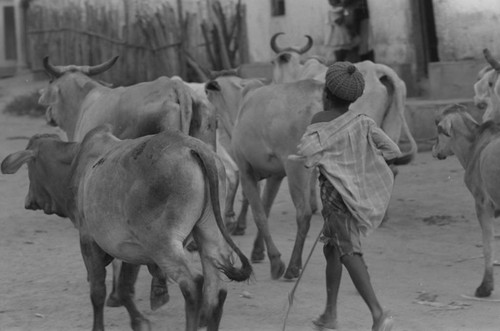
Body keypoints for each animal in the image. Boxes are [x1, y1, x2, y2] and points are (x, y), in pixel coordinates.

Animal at [1, 126, 252, 330]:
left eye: (30, 168)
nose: (28, 201)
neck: (77, 165)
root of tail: (193, 147)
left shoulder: (88, 240)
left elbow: (98, 291)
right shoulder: (131, 248)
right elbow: (123, 289)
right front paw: (139, 322)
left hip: (163, 243)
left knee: (193, 284)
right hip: (209, 234)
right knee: (216, 290)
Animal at [39, 57, 217, 312]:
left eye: (50, 82)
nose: (46, 111)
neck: (85, 101)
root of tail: (176, 87)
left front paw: (115, 294)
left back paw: (158, 288)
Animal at [207, 75, 324, 280]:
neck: (240, 103)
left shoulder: (246, 171)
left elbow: (259, 214)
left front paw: (275, 260)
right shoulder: (275, 176)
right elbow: (265, 208)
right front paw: (257, 250)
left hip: (296, 168)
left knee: (304, 213)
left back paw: (293, 266)